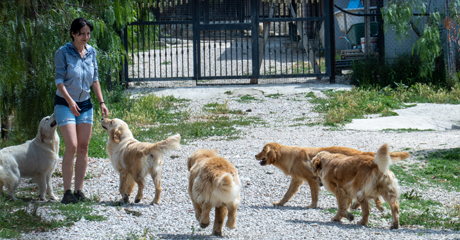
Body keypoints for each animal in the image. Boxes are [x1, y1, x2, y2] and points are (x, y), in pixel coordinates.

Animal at [255, 142, 410, 208]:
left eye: (262, 150)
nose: (254, 155)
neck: (290, 156)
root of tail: (365, 153)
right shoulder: (296, 180)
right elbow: (287, 194)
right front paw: (280, 203)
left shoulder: (312, 179)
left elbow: (314, 196)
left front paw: (312, 206)